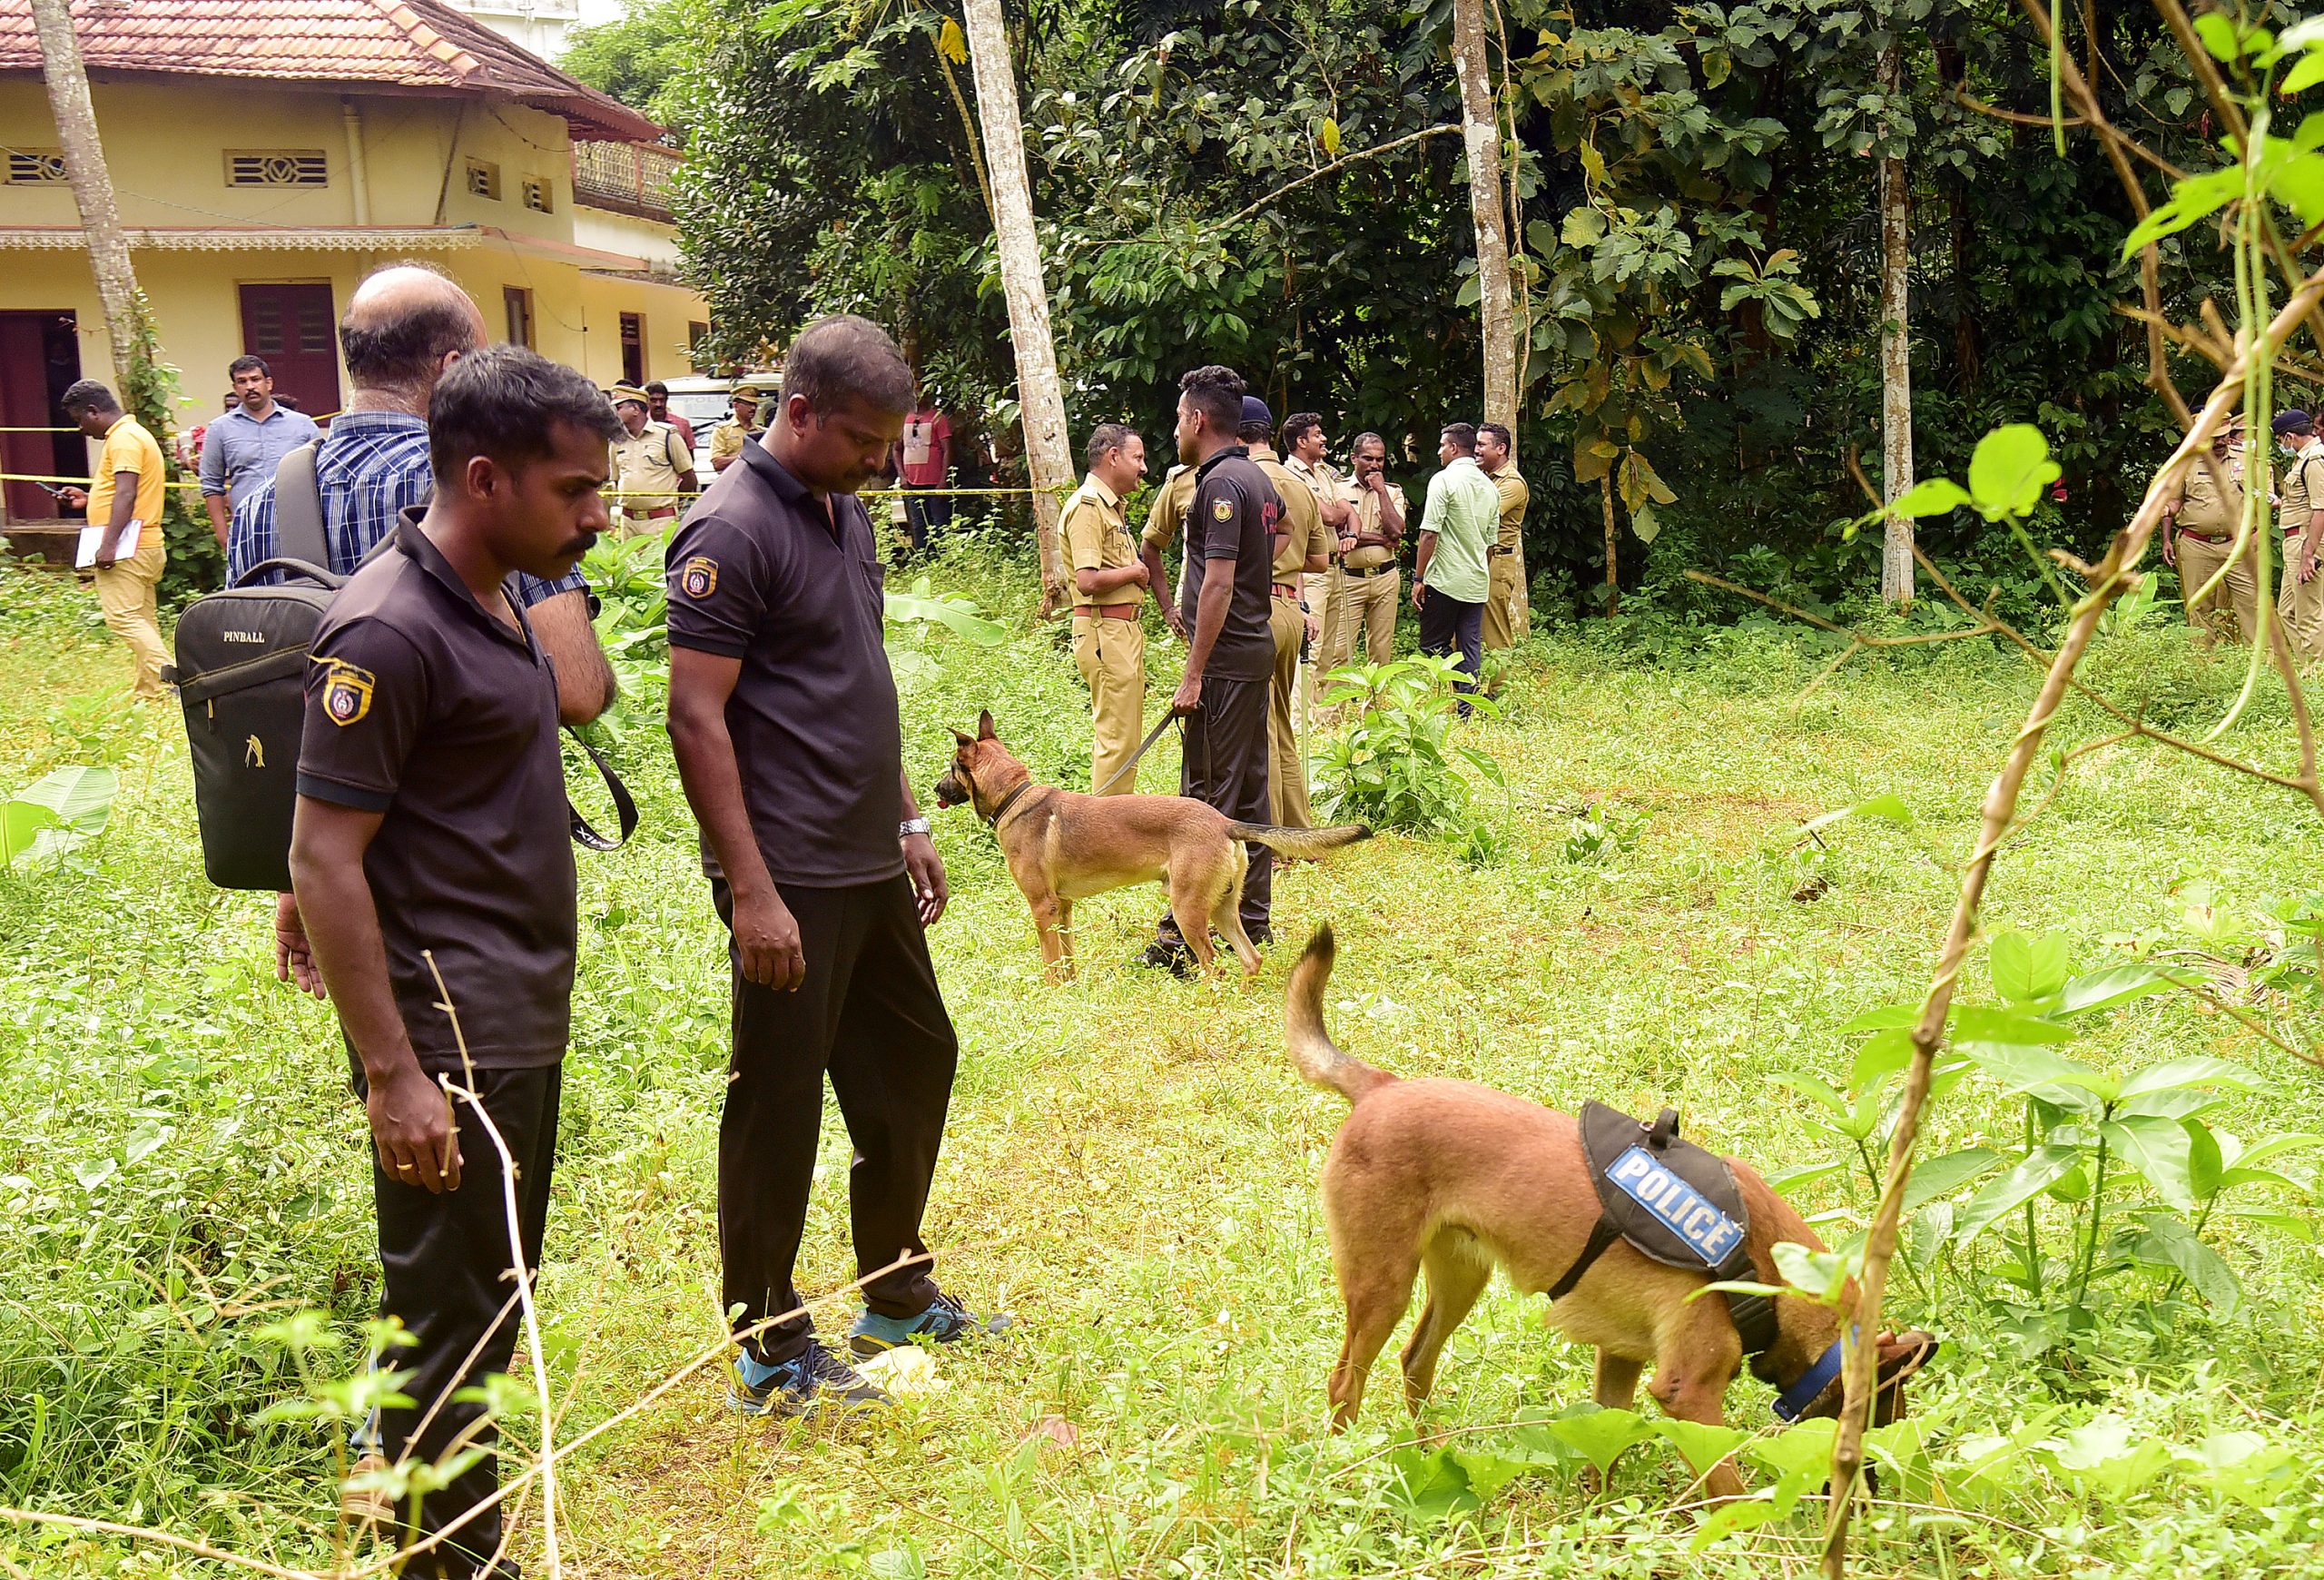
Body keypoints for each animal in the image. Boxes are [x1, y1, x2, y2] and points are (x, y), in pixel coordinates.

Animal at [932, 712, 1370, 979]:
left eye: (951, 768)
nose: (935, 789)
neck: (1015, 797)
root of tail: (1224, 823)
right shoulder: (1063, 907)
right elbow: (1068, 957)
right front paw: (1071, 990)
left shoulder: (1043, 907)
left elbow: (1051, 963)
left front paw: (1053, 994)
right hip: (1222, 909)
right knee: (1251, 958)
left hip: (1188, 910)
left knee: (1214, 966)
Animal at [1284, 925, 1933, 1498]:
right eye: (1881, 1416)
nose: (1871, 1494)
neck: (1766, 1271)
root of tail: (1382, 1087)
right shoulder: (1687, 1394)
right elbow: (1727, 1492)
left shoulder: (1620, 1361)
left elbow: (1605, 1448)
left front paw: (1600, 1520)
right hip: (1383, 1286)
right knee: (1345, 1382)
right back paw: (1344, 1472)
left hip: (1461, 1279)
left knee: (1415, 1361)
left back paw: (1430, 1458)